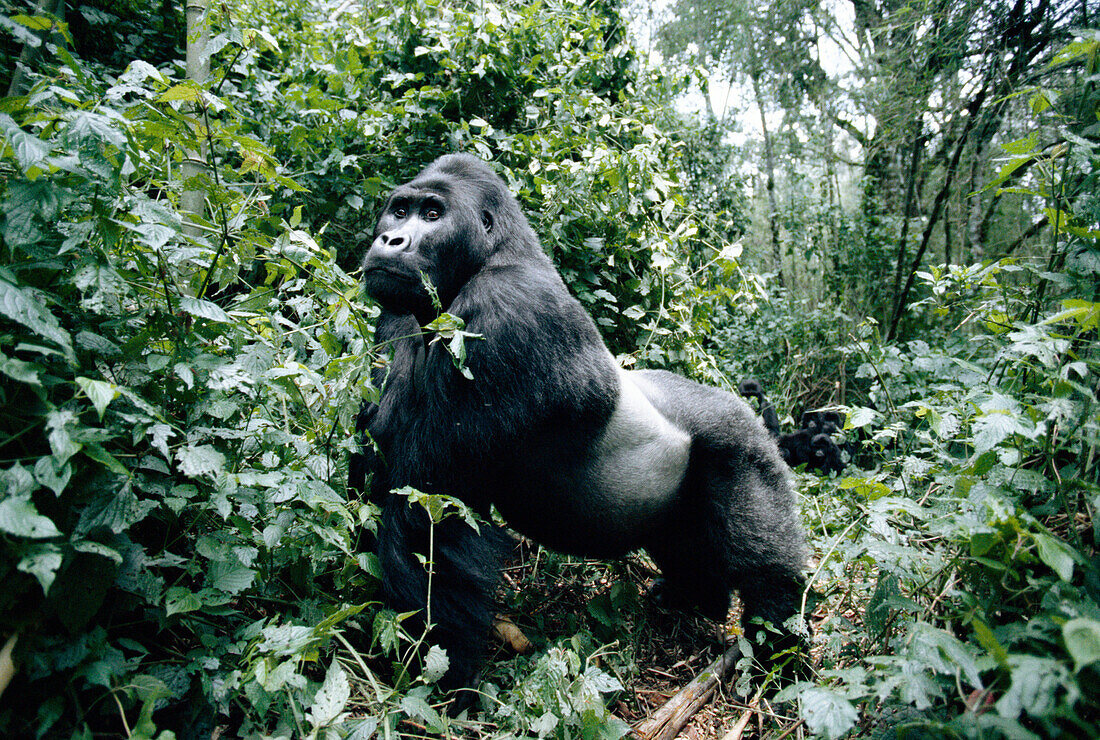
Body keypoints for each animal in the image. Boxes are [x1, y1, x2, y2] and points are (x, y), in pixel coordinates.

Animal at [352, 153, 809, 694]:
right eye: (399, 210)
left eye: (432, 214)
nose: (390, 239)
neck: (490, 256)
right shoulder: (399, 313)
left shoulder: (505, 313)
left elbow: (430, 514)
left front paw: (441, 675)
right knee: (687, 549)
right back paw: (693, 599)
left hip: (743, 450)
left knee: (766, 572)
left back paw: (778, 649)